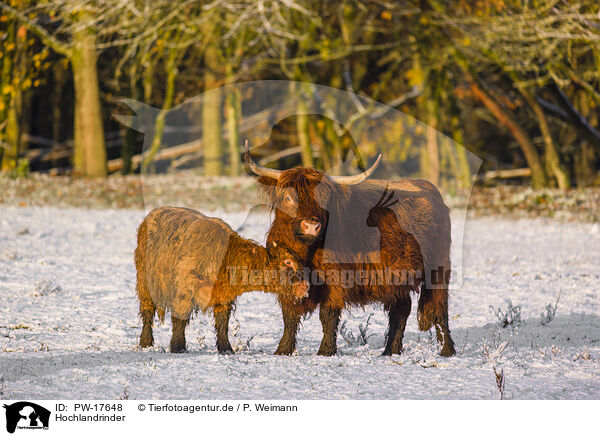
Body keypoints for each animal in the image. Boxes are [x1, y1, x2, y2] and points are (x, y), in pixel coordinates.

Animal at [135, 206, 310, 352]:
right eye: (288, 262)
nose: (306, 286)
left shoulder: (223, 297)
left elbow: (222, 323)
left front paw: (226, 348)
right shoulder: (184, 290)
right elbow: (180, 318)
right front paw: (178, 347)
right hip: (145, 282)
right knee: (147, 310)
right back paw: (146, 342)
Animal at [244, 143, 454, 358]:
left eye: (323, 200)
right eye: (288, 198)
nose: (311, 226)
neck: (306, 252)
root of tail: (430, 190)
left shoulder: (335, 279)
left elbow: (328, 313)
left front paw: (325, 351)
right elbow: (289, 315)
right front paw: (283, 350)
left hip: (437, 269)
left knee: (439, 308)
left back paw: (446, 350)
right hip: (398, 275)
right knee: (401, 309)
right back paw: (391, 350)